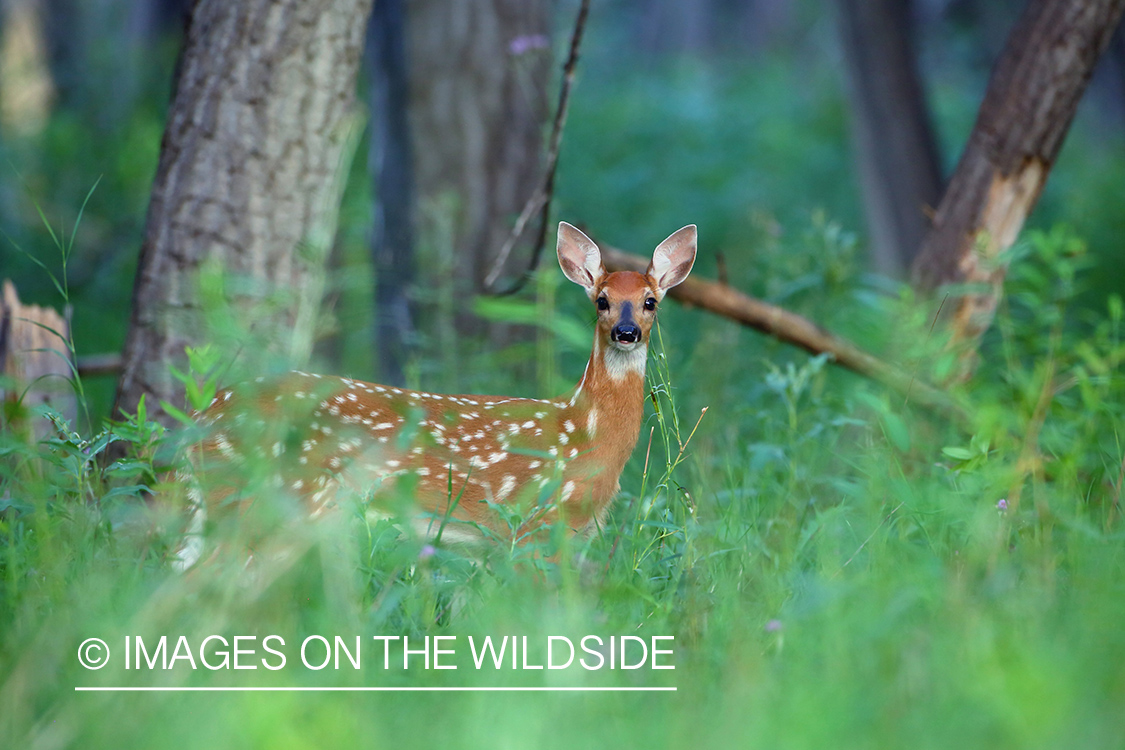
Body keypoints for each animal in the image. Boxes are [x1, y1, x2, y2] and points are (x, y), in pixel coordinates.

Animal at [175, 222, 696, 568]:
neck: (584, 433)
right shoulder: (535, 524)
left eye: (650, 301)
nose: (626, 332)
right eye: (602, 300)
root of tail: (204, 417)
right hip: (267, 501)